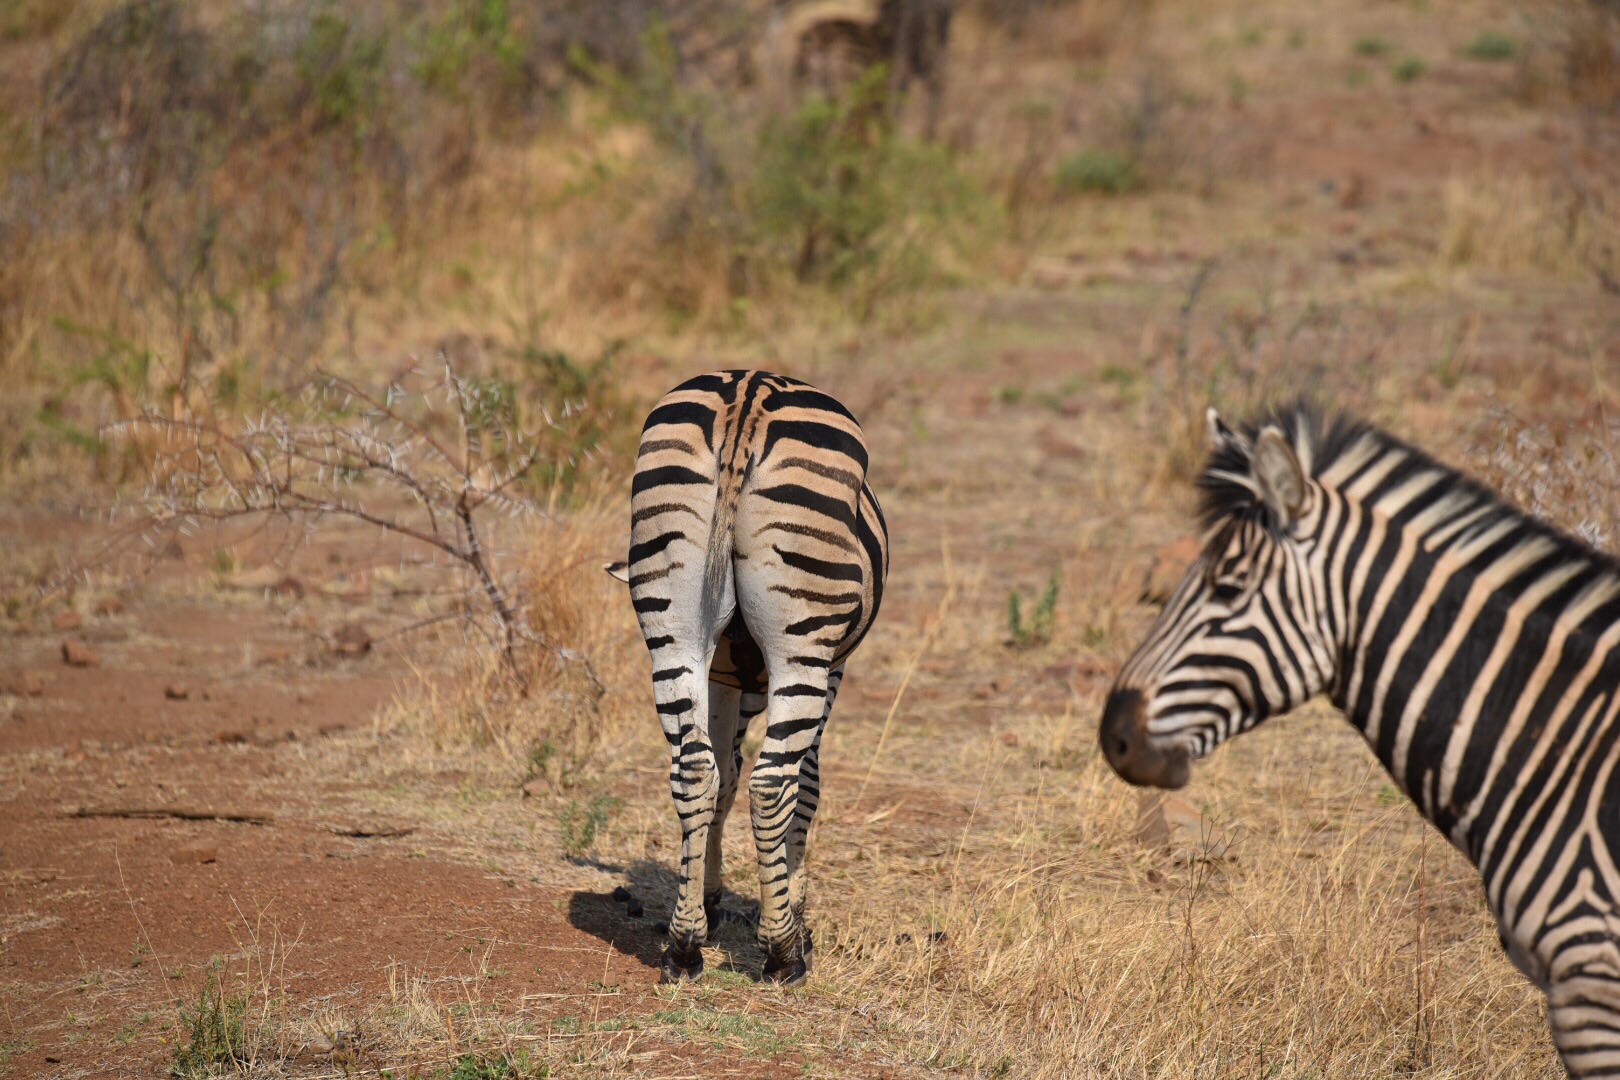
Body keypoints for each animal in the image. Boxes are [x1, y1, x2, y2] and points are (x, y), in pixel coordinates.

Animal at [609, 369, 887, 990]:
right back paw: (782, 953)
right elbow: (806, 787)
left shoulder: (723, 677)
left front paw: (707, 901)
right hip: (803, 642)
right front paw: (796, 916)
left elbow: (724, 776)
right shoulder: (833, 667)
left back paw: (683, 947)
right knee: (772, 782)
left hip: (673, 621)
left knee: (693, 770)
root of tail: (748, 395)